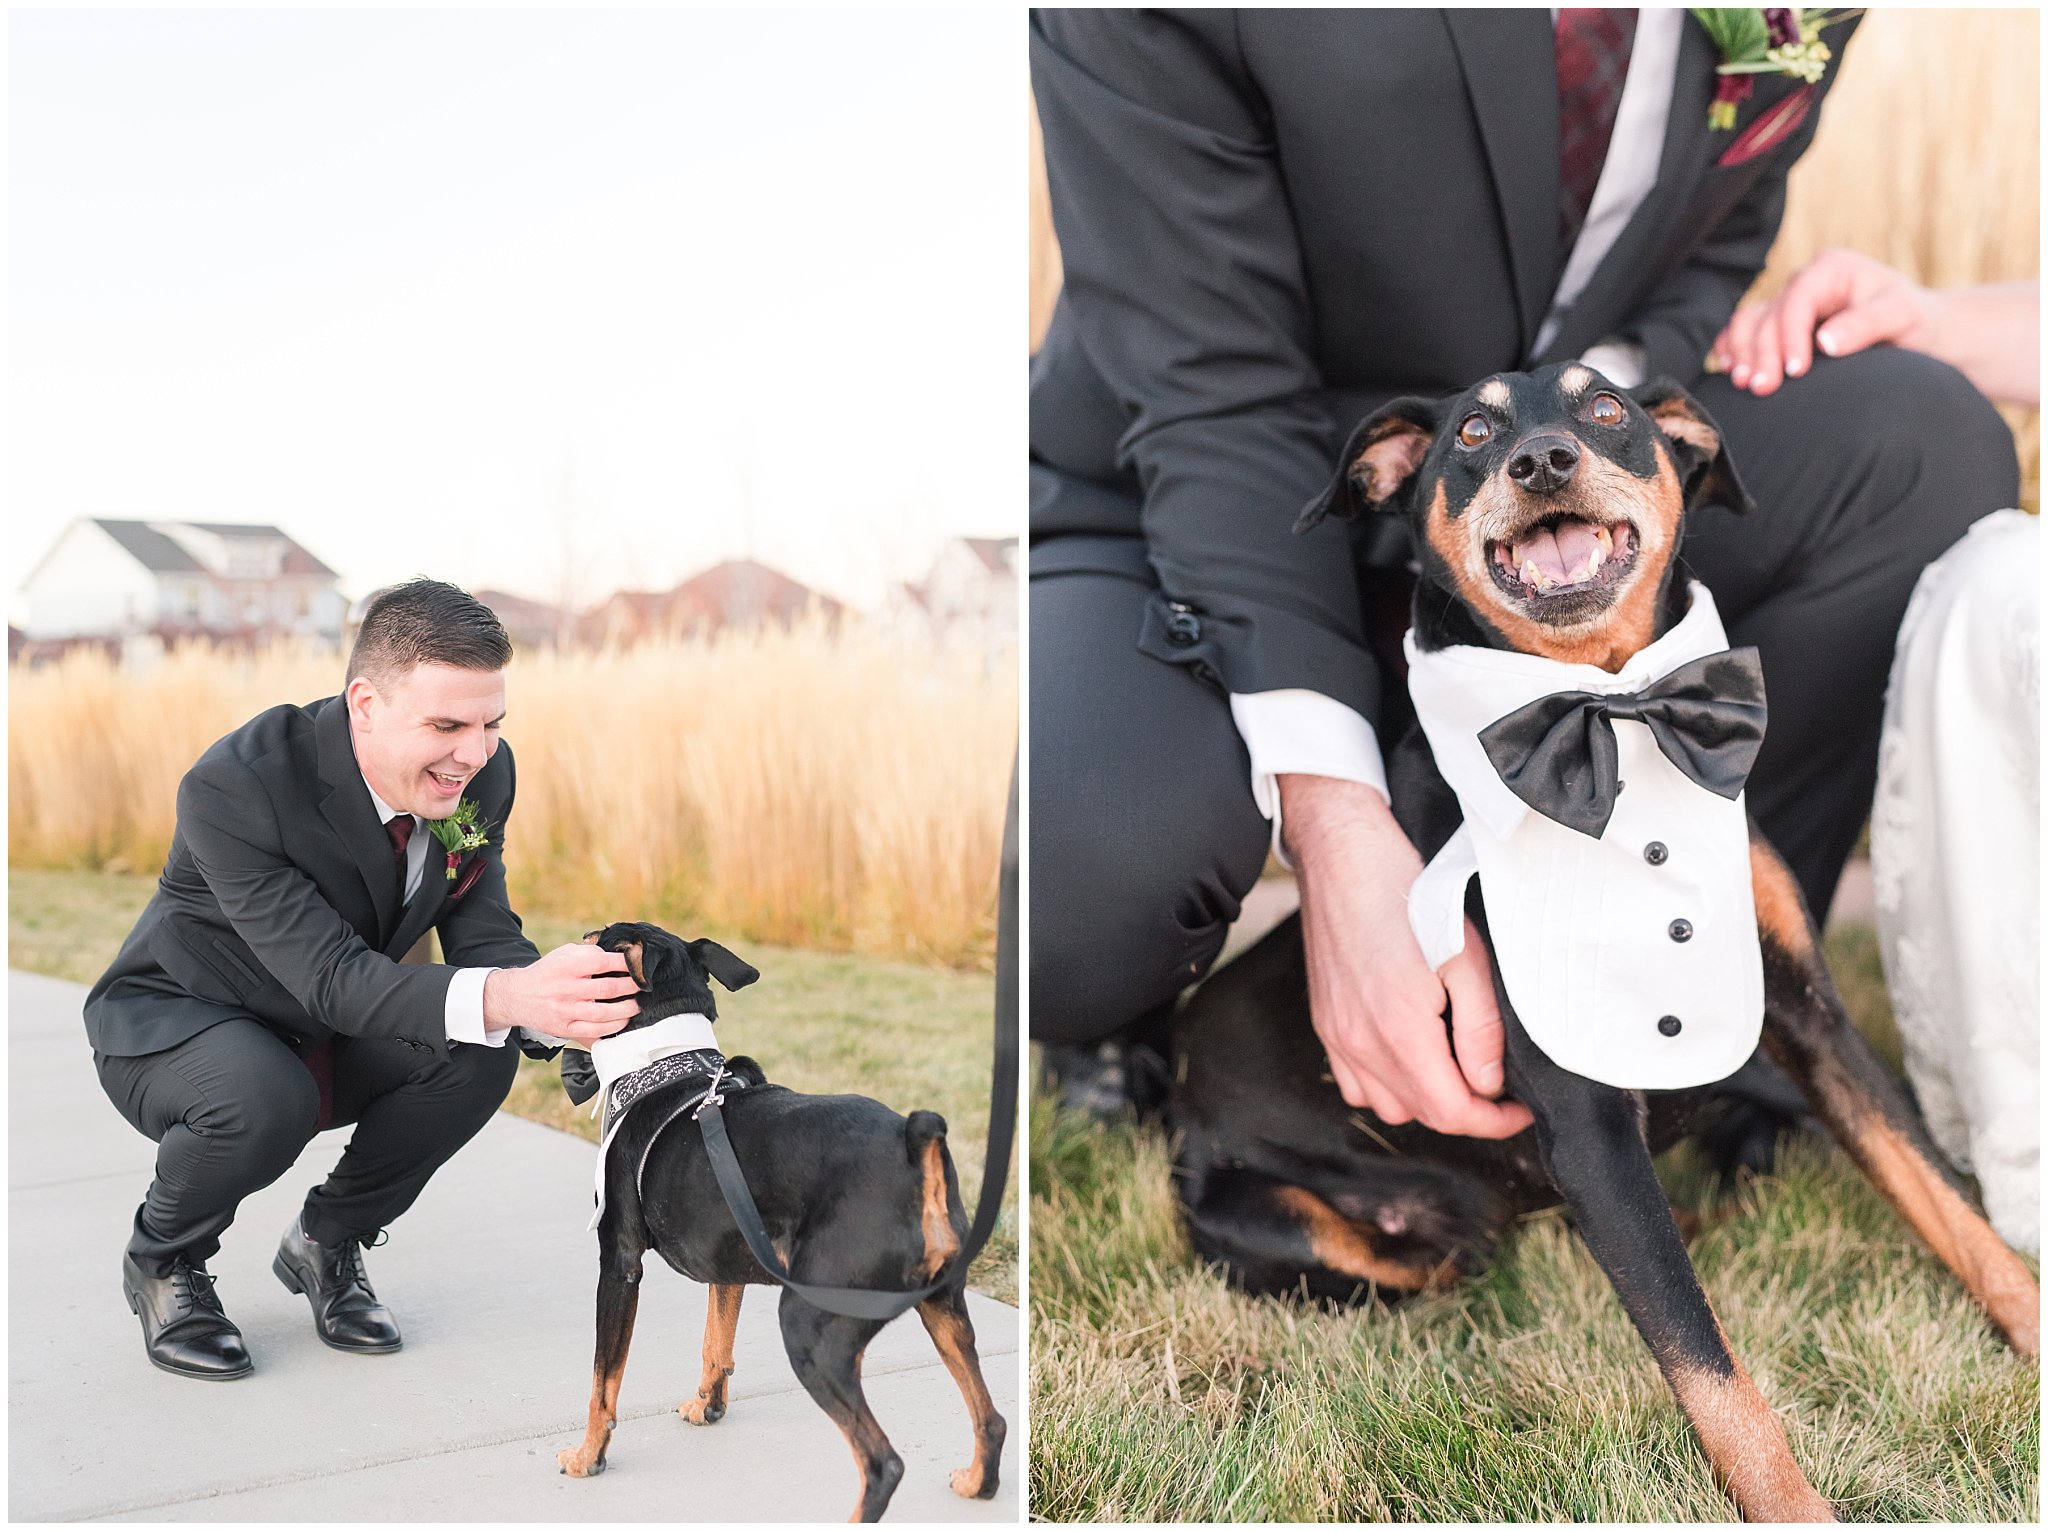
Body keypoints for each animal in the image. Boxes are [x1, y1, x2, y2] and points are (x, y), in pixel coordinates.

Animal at [561, 916, 1007, 1522]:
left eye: (597, 937)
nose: (571, 936)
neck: (660, 1065)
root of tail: (916, 1154)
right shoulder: (726, 1263)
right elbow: (715, 1343)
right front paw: (707, 1407)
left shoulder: (620, 1262)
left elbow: (602, 1381)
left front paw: (588, 1457)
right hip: (944, 1308)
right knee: (991, 1417)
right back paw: (976, 1483)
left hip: (811, 1327)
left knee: (882, 1462)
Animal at [1179, 364, 2039, 1522]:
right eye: (1473, 430)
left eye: (1603, 410)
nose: (1541, 459)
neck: (1613, 710)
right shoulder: (1586, 1123)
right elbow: (1709, 1366)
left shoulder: (1811, 1021)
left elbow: (1951, 1209)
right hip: (1327, 1236)